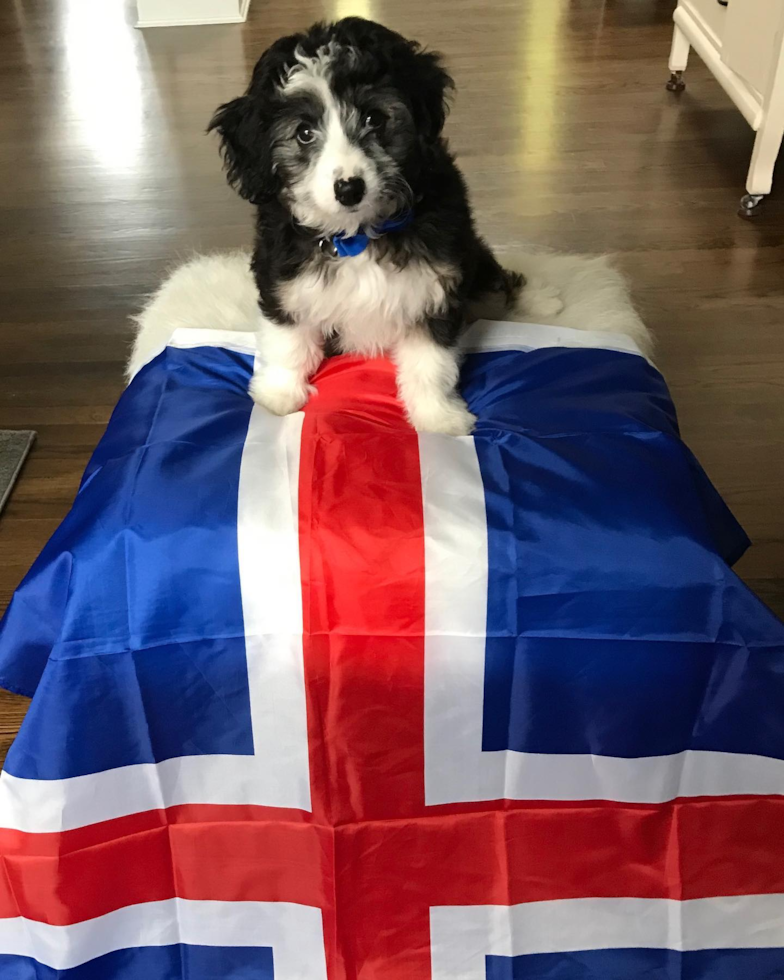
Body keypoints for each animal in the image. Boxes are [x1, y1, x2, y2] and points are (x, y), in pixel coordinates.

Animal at [208, 16, 528, 432]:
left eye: (374, 118)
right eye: (304, 132)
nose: (349, 188)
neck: (358, 235)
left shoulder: (437, 285)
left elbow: (431, 362)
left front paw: (437, 417)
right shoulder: (283, 280)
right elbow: (288, 341)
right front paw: (279, 395)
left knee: (497, 285)